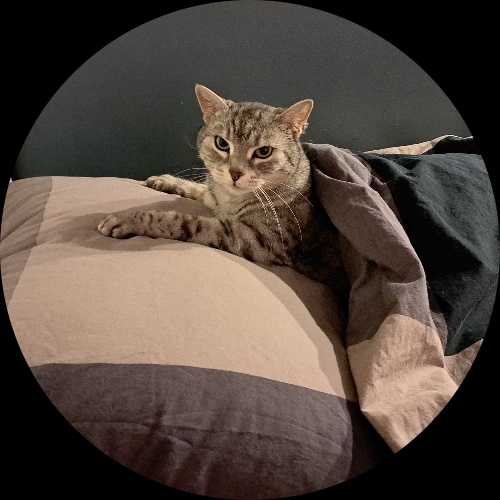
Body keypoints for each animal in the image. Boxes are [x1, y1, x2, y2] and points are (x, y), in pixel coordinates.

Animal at [98, 84, 349, 300]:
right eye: (222, 143)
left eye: (264, 152)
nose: (235, 173)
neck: (230, 200)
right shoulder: (214, 196)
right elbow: (202, 188)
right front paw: (166, 180)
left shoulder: (258, 240)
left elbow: (184, 222)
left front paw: (129, 219)